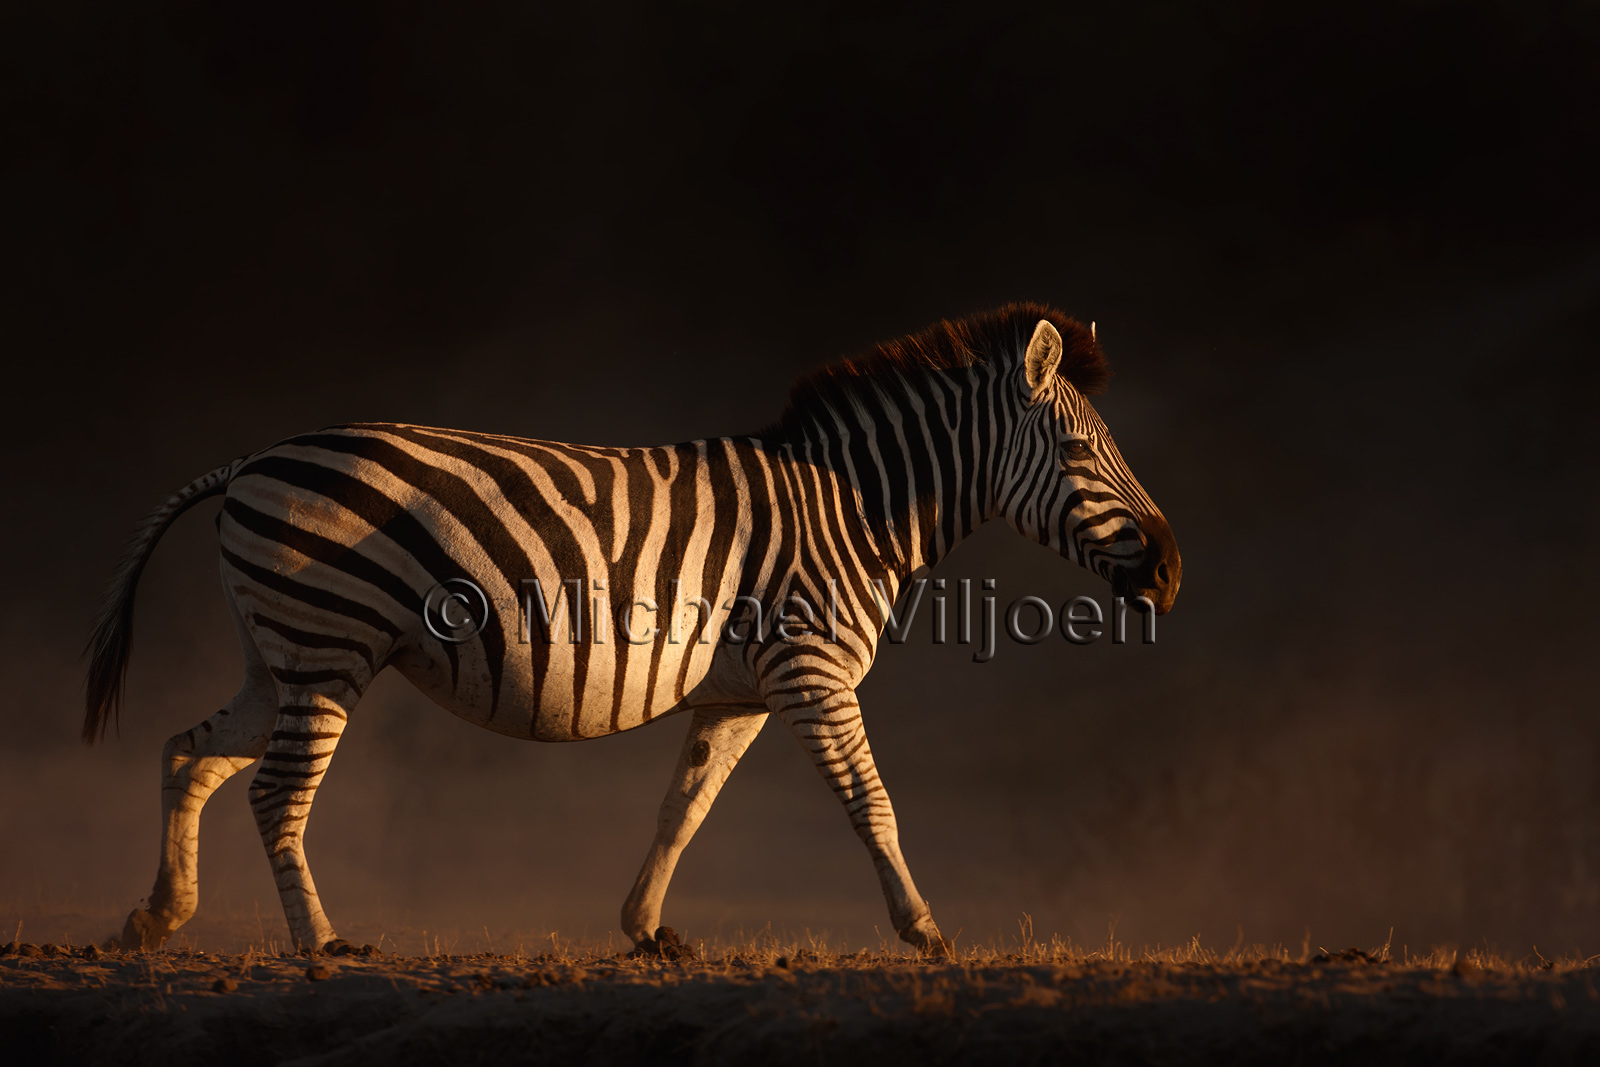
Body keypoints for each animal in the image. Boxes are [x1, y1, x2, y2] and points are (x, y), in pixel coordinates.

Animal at [84, 303, 1180, 956]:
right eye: (1083, 452)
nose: (1171, 573)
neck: (851, 506)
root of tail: (252, 459)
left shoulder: (742, 691)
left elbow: (681, 809)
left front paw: (647, 928)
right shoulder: (811, 669)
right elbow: (873, 802)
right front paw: (925, 929)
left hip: (278, 656)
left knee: (188, 750)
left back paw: (156, 913)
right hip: (328, 647)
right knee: (273, 792)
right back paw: (320, 942)